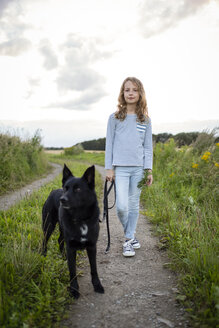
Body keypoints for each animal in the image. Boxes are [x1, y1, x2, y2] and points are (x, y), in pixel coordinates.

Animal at [42, 165, 105, 298]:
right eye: (65, 188)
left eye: (78, 189)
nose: (62, 200)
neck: (80, 218)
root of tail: (53, 191)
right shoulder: (71, 247)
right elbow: (72, 271)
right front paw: (74, 290)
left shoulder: (92, 247)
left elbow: (94, 269)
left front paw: (97, 285)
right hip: (48, 226)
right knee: (44, 240)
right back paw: (43, 255)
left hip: (61, 228)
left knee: (60, 240)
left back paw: (63, 257)